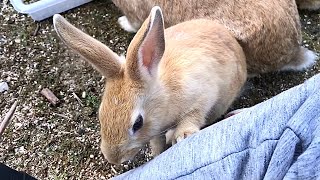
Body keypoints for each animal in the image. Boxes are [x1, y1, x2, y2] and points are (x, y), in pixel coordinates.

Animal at [53, 6, 248, 165]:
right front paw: (157, 155)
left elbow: (193, 116)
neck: (166, 95)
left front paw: (183, 136)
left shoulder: (201, 98)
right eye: (101, 114)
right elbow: (157, 143)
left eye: (137, 123)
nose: (113, 158)